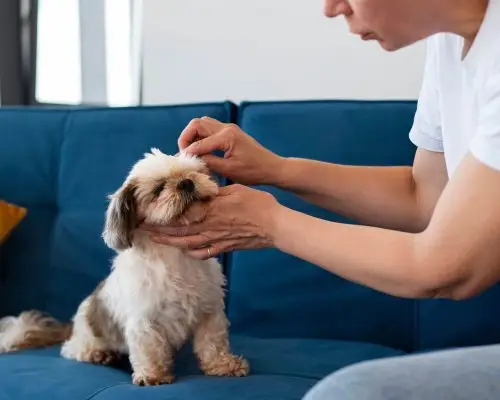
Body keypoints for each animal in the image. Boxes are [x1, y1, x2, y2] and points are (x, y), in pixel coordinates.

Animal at [0, 148, 250, 386]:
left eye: (195, 172)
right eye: (158, 188)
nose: (186, 182)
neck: (175, 257)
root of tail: (72, 327)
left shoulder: (209, 311)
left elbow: (213, 342)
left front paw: (224, 365)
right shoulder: (144, 320)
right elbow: (150, 349)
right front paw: (152, 375)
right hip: (88, 338)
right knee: (72, 350)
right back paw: (100, 354)